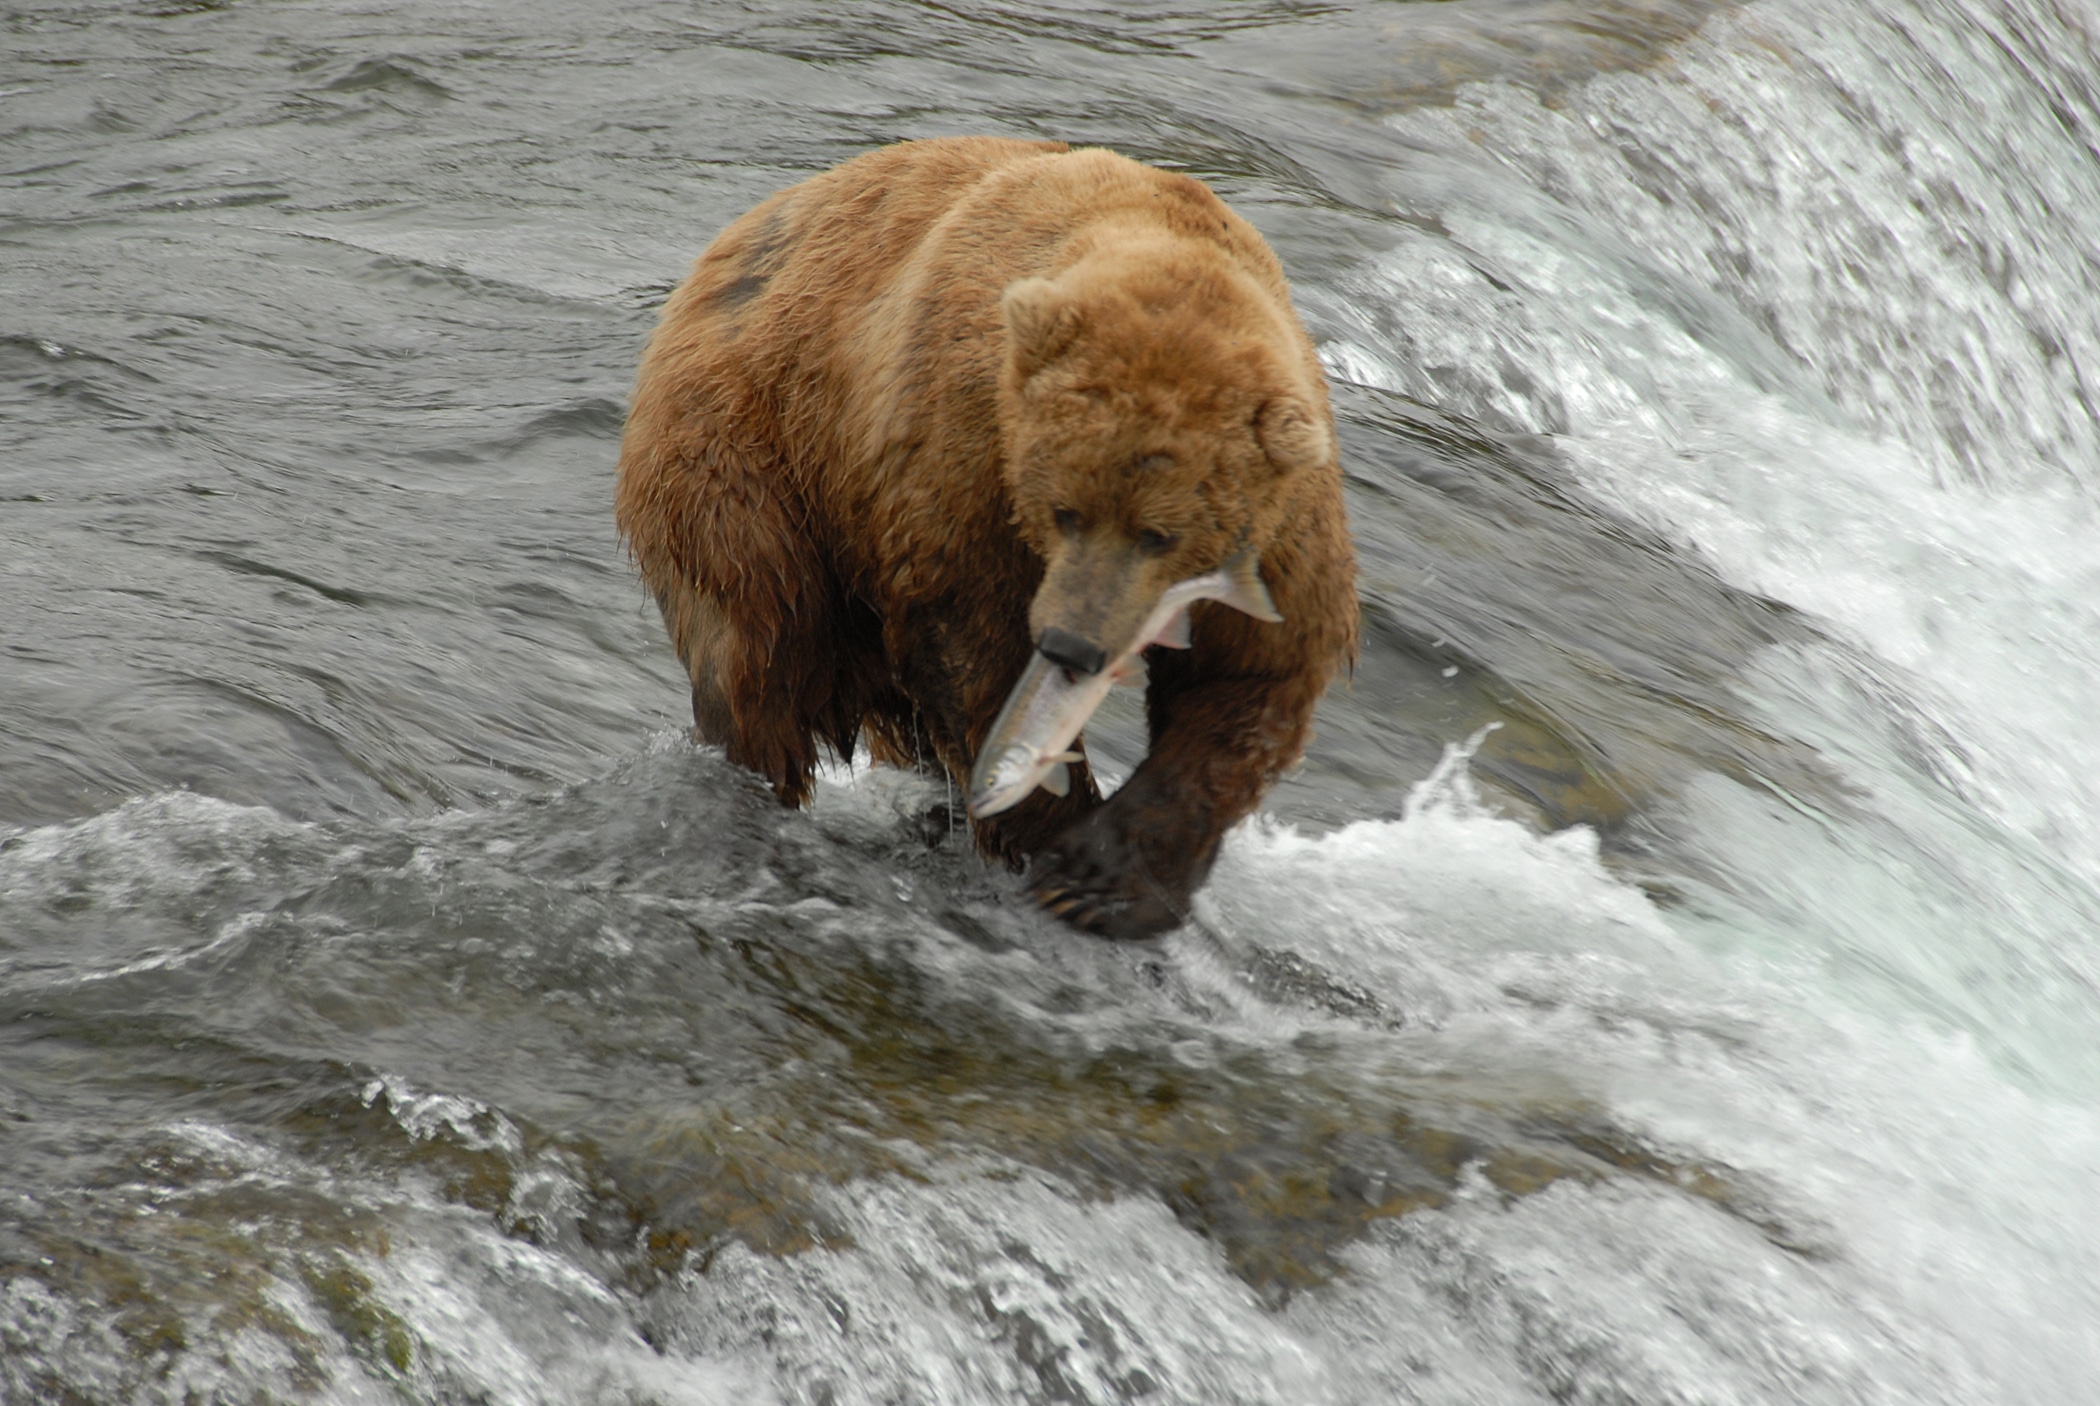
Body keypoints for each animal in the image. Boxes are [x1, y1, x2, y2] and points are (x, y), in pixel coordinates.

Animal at [613, 140, 1352, 935]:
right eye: (1065, 511)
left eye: (1160, 533)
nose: (1071, 645)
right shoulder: (965, 453)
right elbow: (971, 647)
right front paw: (1052, 831)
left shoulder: (1282, 532)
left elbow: (1251, 680)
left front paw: (1107, 878)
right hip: (749, 453)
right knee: (759, 642)